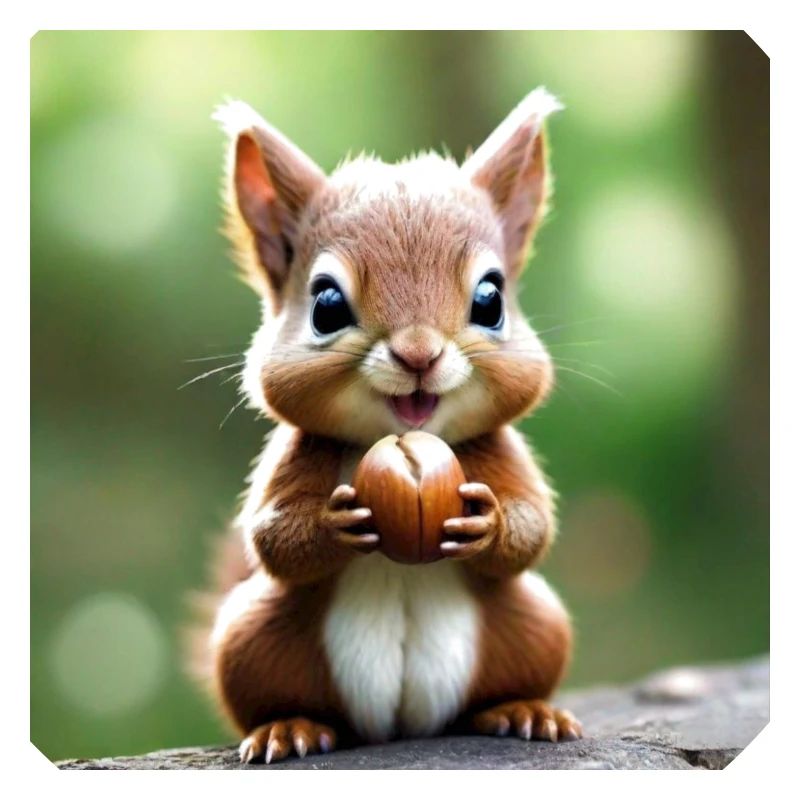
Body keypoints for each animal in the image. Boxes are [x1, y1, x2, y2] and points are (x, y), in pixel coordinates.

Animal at [191, 87, 582, 764]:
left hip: (535, 625)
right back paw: (287, 727)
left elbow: (533, 526)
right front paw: (334, 521)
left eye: (491, 299)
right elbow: (271, 535)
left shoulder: (496, 449)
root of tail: (401, 727)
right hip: (252, 639)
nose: (418, 355)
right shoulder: (297, 452)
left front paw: (487, 520)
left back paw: (521, 710)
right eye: (325, 305)